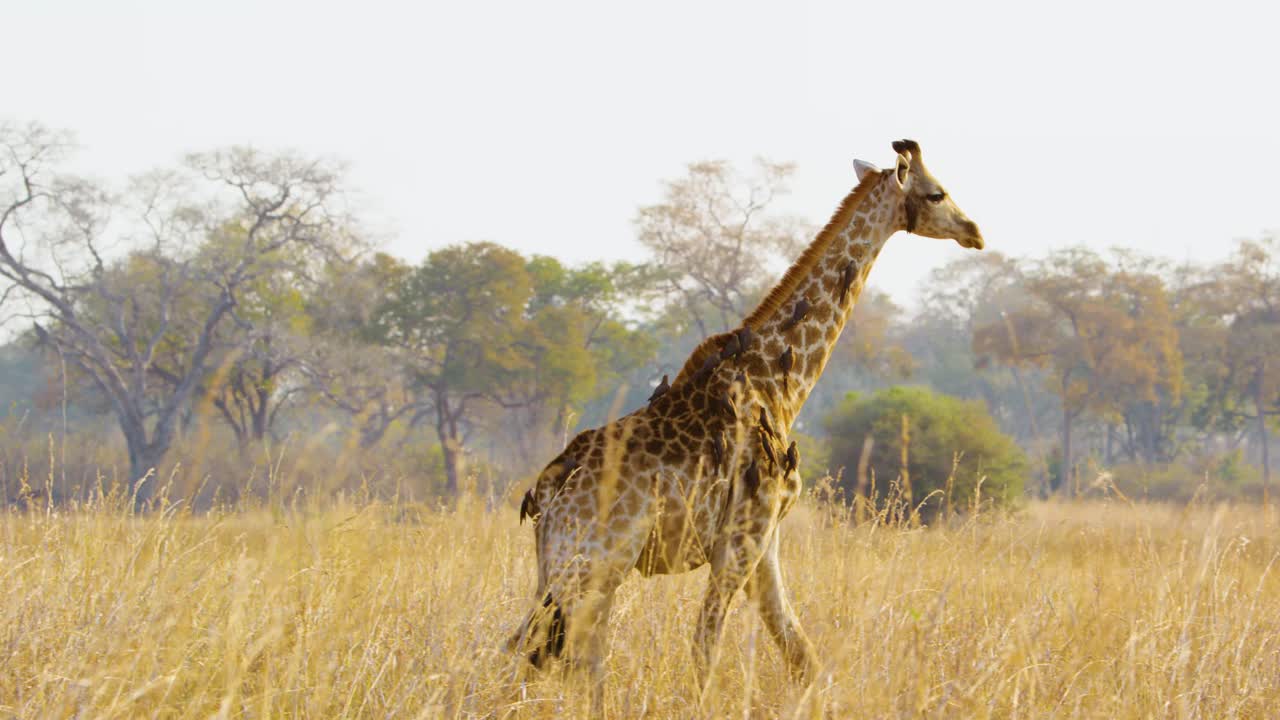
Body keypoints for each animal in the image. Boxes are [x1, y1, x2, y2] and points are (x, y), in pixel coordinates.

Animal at [504, 139, 983, 707]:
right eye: (937, 193)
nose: (974, 231)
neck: (781, 383)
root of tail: (547, 493)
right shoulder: (741, 539)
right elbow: (706, 649)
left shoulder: (766, 540)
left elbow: (802, 653)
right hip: (593, 567)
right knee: (556, 654)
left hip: (563, 573)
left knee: (533, 649)